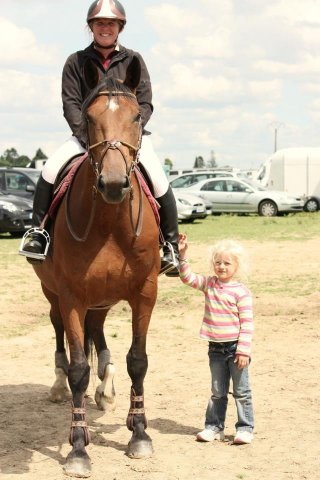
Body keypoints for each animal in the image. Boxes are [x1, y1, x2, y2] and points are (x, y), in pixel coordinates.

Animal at [32, 58, 160, 478]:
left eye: (137, 115)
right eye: (89, 118)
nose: (115, 184)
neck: (109, 221)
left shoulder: (145, 292)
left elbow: (138, 361)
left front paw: (139, 433)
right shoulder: (72, 295)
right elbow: (77, 369)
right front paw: (77, 447)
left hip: (102, 298)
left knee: (98, 331)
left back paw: (107, 388)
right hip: (54, 293)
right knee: (59, 331)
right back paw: (59, 385)